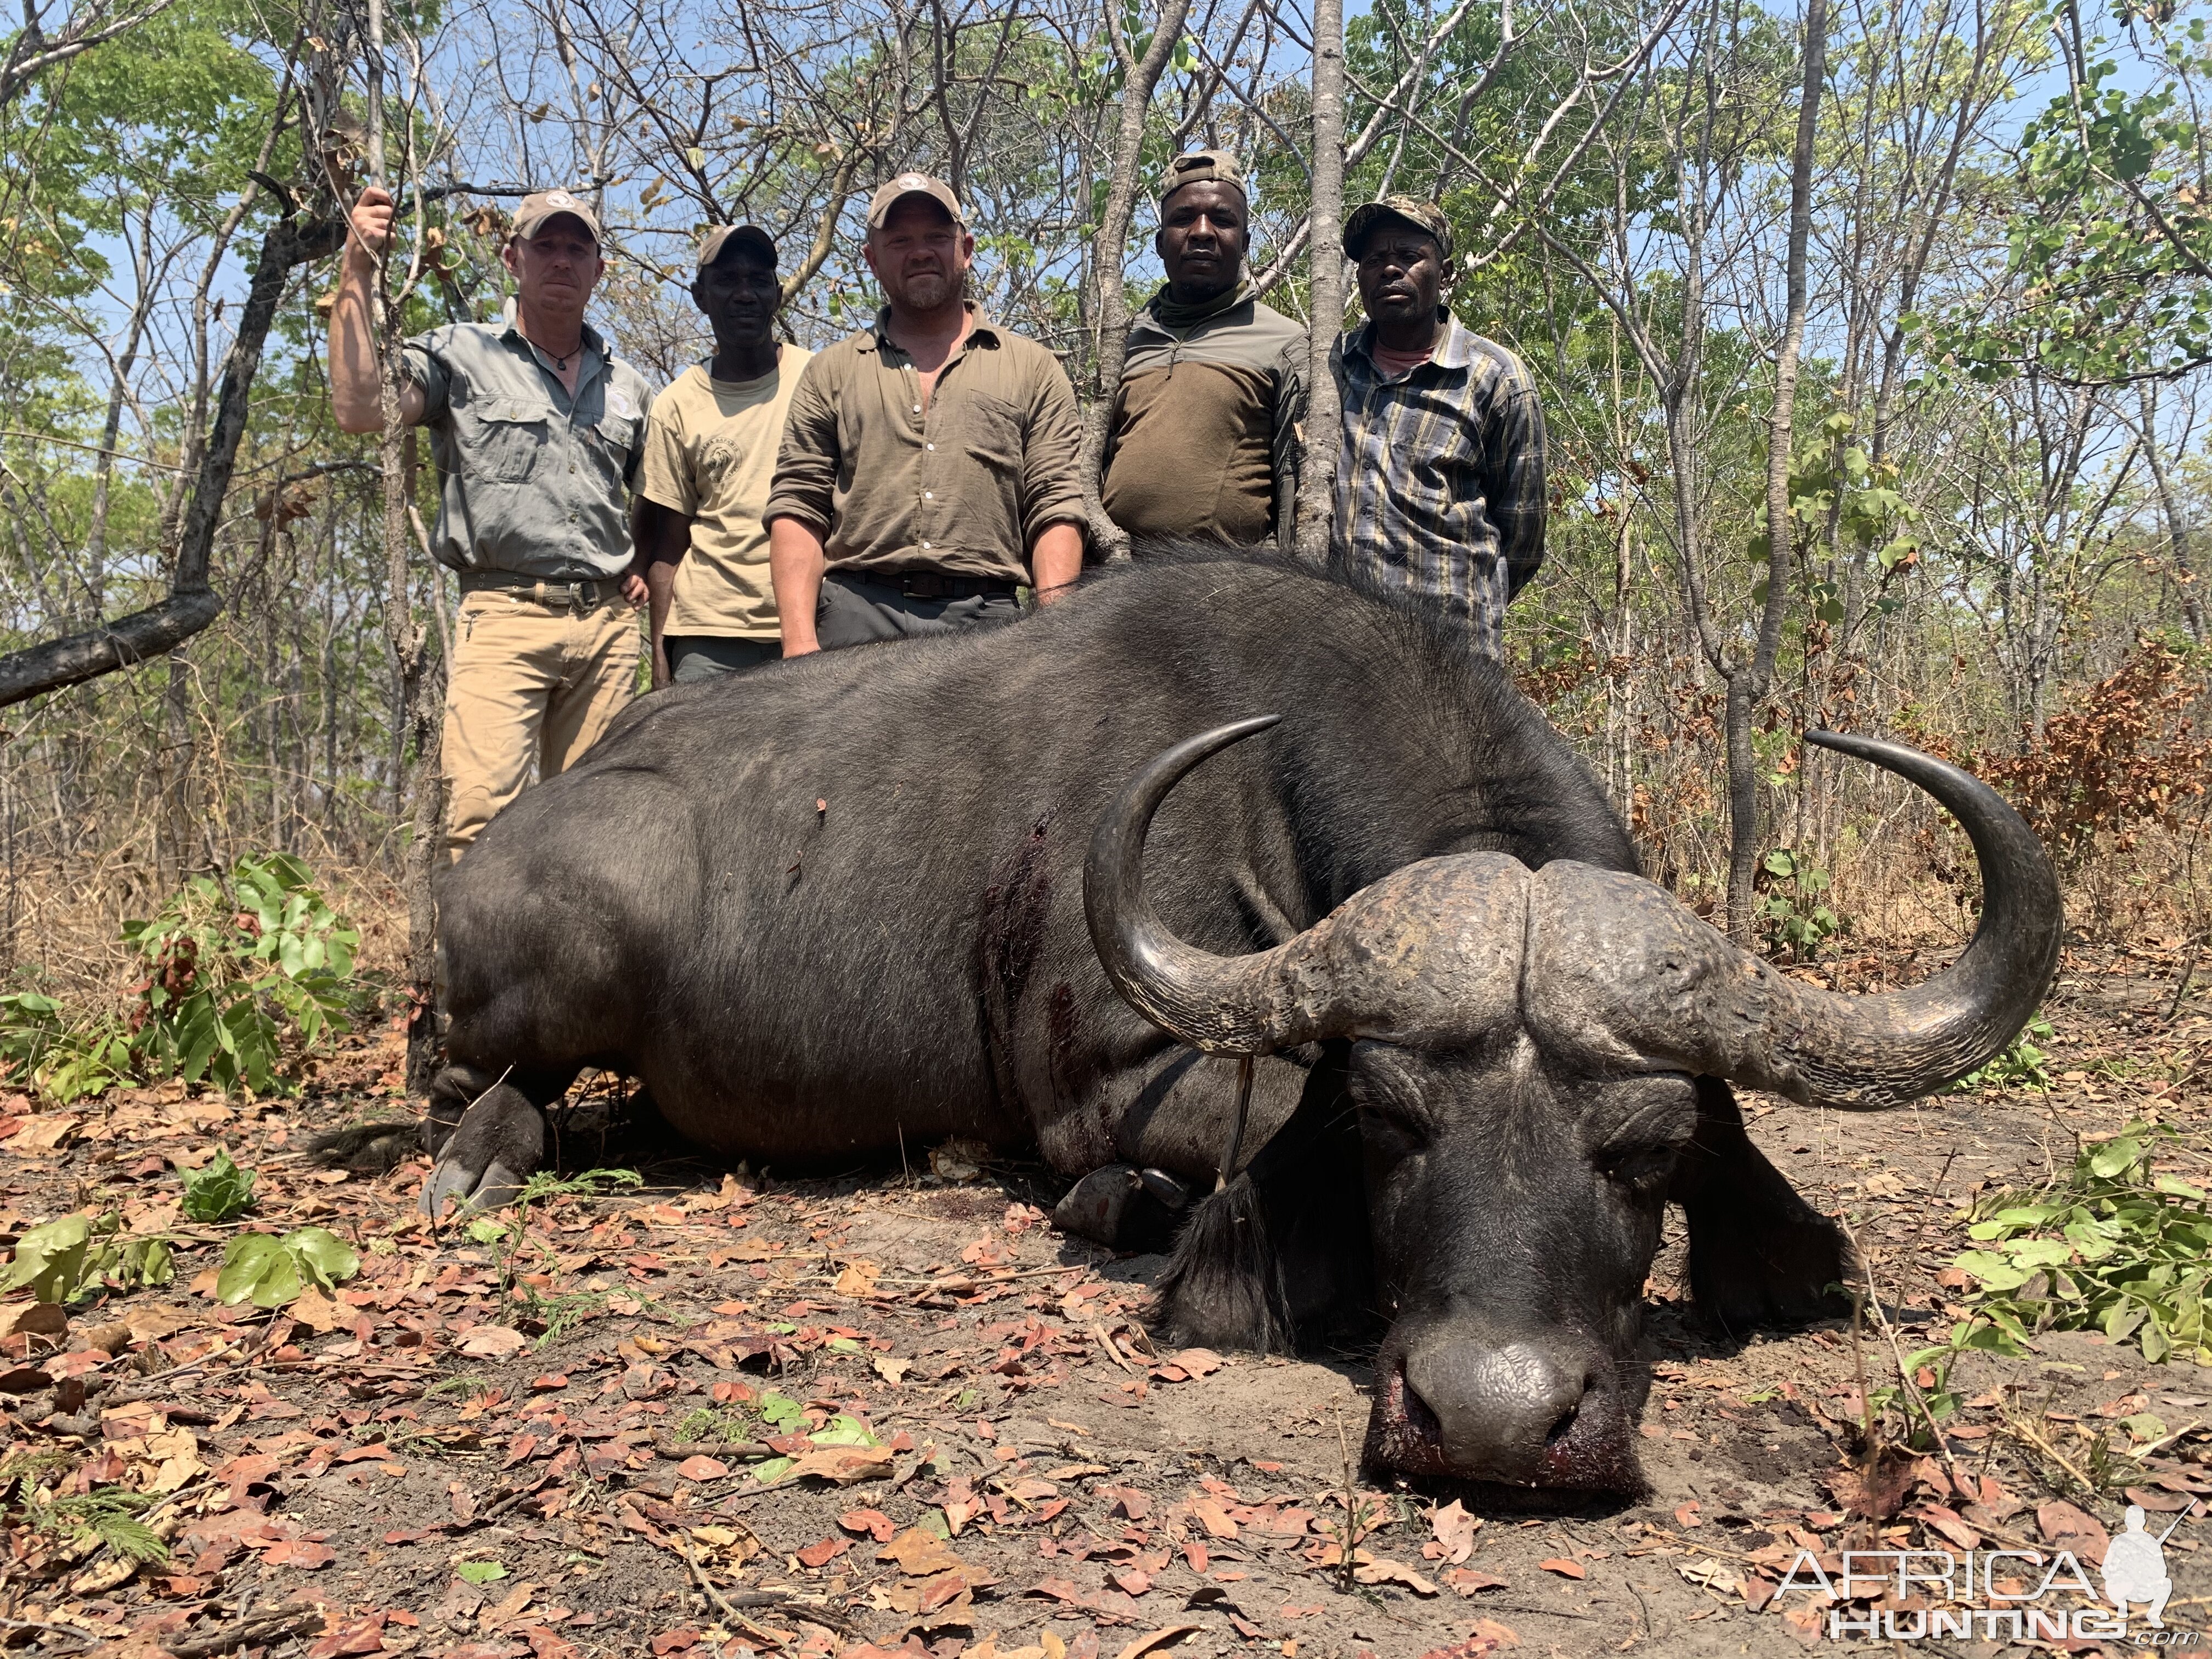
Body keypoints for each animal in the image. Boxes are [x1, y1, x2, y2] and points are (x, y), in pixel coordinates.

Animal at [389, 555, 2061, 1495]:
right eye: (1389, 1128)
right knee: (486, 1076)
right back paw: (481, 1155)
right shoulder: (1113, 1084)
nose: (1497, 1423)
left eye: (1644, 1153)